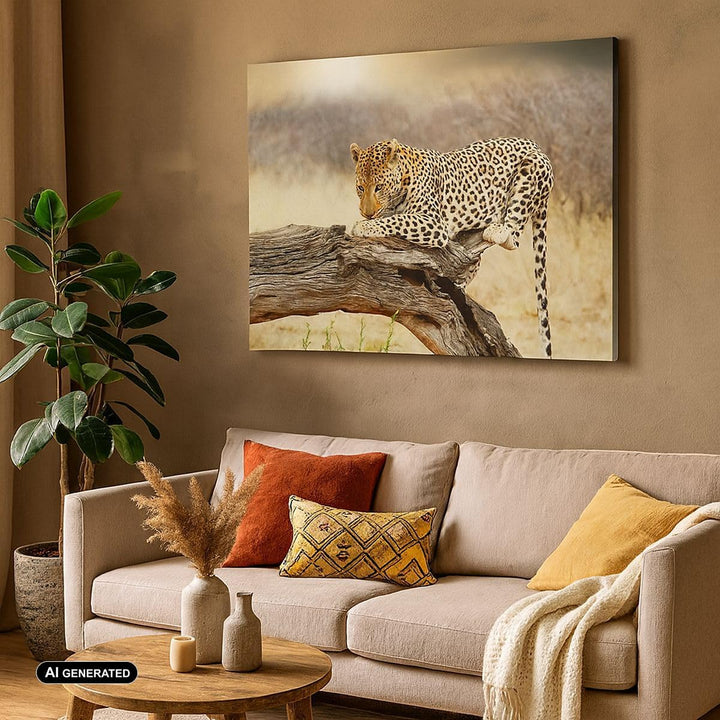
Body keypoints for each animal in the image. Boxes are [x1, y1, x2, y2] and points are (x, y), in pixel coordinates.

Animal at [349, 137, 554, 358]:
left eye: (378, 187)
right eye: (360, 188)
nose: (367, 213)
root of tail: (534, 144)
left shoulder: (434, 224)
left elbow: (398, 220)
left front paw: (363, 226)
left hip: (532, 169)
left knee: (513, 234)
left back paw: (497, 229)